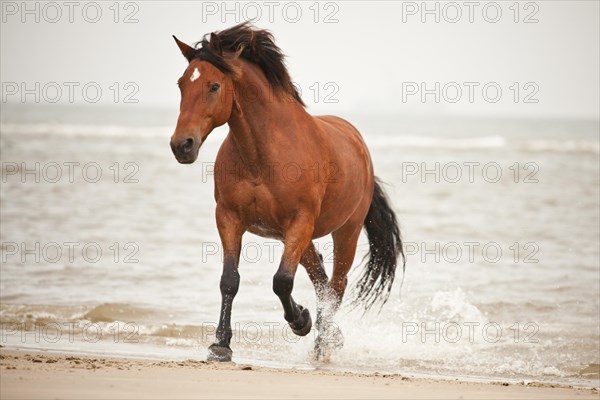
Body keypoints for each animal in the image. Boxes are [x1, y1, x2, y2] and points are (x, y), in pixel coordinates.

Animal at [170, 22, 404, 362]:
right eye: (181, 85)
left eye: (213, 86)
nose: (181, 145)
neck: (261, 155)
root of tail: (358, 142)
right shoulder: (229, 218)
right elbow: (230, 281)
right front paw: (221, 345)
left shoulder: (299, 222)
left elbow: (281, 281)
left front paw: (301, 322)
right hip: (298, 239)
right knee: (321, 279)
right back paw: (330, 334)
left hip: (344, 231)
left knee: (336, 285)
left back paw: (322, 342)